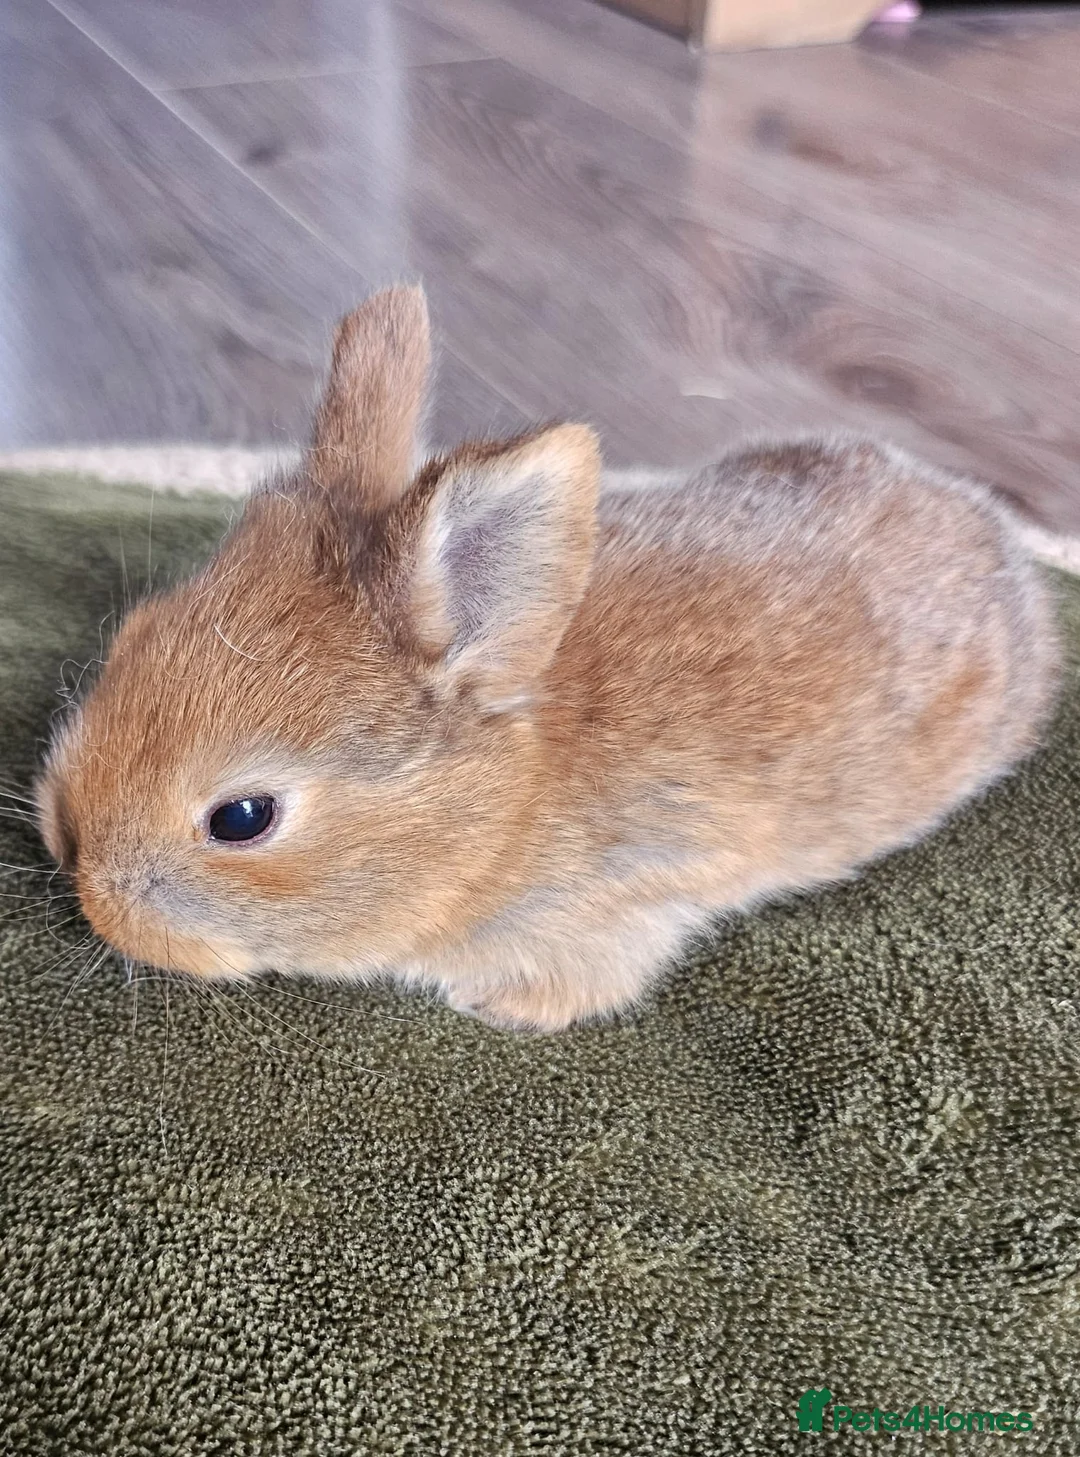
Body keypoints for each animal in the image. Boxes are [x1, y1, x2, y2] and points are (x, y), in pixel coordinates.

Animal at [35, 285, 1060, 1033]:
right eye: (131, 640)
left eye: (242, 818)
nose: (78, 867)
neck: (505, 807)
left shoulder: (642, 885)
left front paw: (502, 1004)